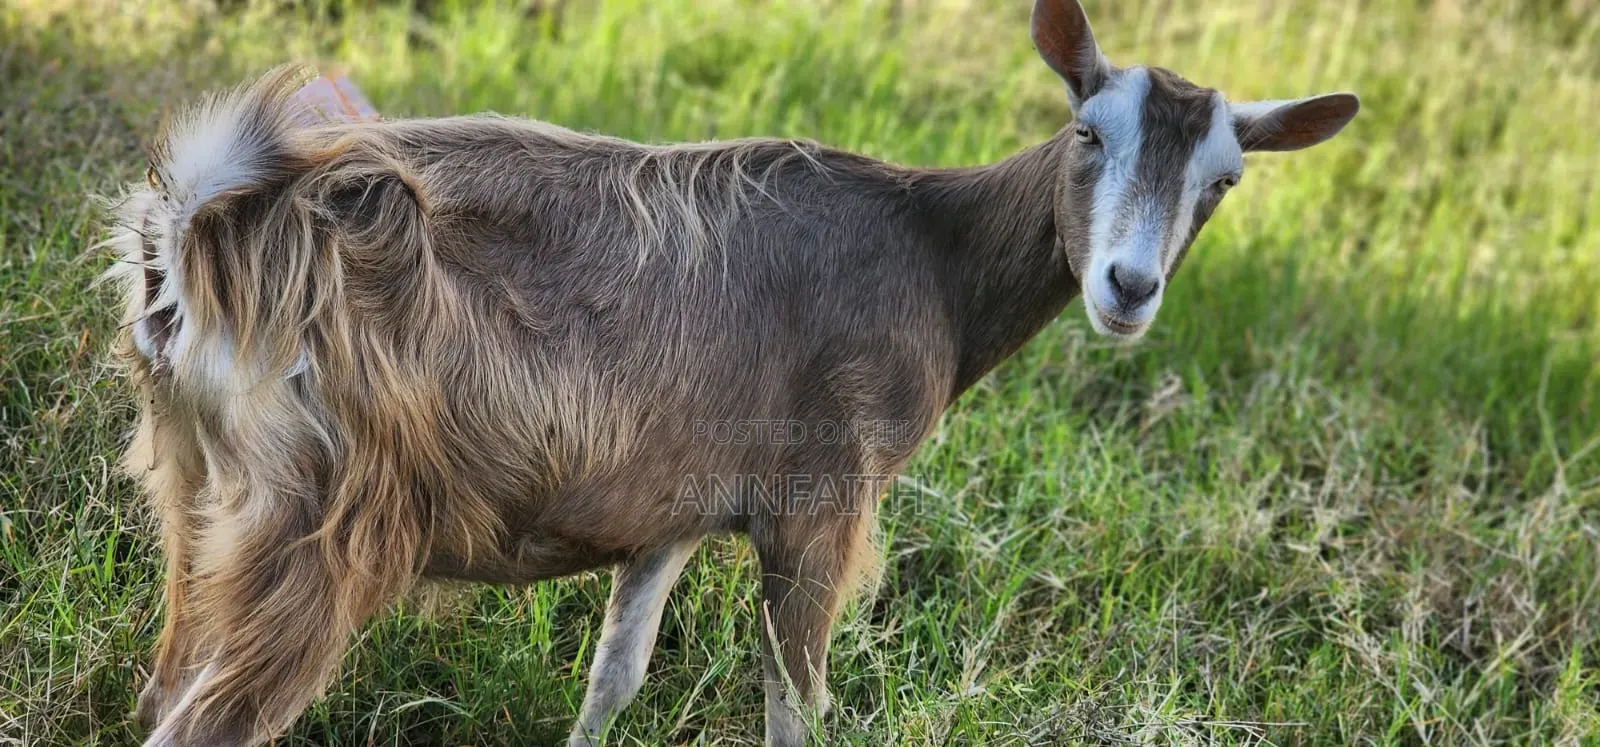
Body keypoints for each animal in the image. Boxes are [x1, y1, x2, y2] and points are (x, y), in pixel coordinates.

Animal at [102, 1, 1358, 744]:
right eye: (1090, 133)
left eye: (1223, 180)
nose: (1126, 288)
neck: (932, 256)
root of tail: (207, 227)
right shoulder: (821, 501)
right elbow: (796, 702)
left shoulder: (669, 507)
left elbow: (616, 670)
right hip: (319, 520)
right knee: (204, 721)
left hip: (197, 490)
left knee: (163, 684)